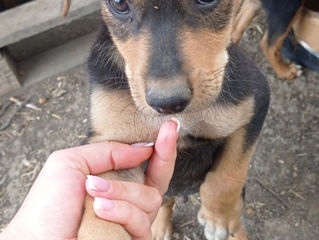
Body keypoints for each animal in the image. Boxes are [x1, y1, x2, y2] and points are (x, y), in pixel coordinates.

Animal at [62, 0, 270, 240]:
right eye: (119, 3)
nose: (168, 103)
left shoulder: (254, 104)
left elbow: (228, 175)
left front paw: (218, 218)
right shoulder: (115, 145)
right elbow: (100, 215)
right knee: (165, 202)